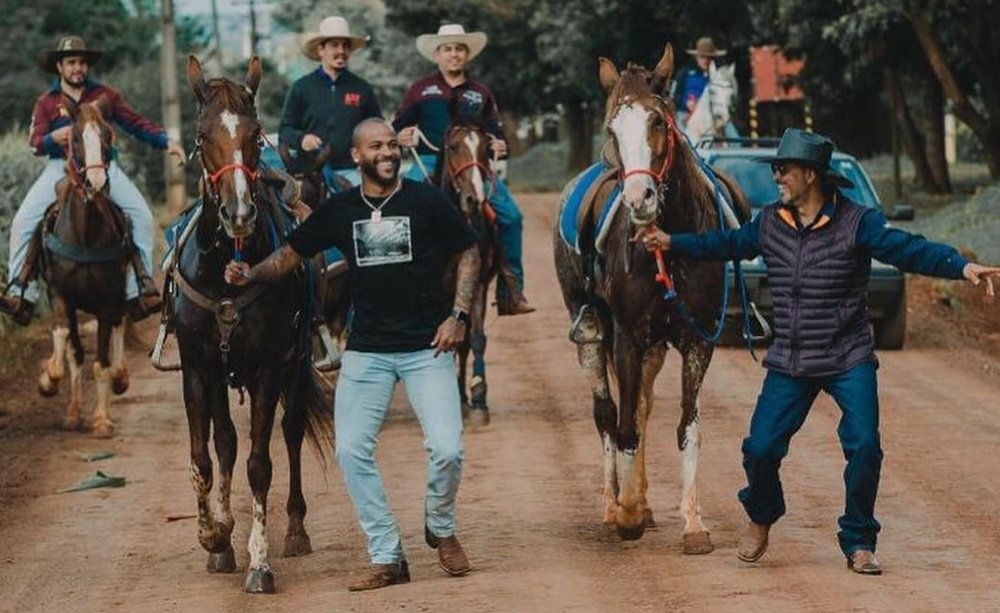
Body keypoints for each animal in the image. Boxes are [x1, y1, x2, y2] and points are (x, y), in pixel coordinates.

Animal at [38, 97, 131, 436]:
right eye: (76, 138)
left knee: (119, 326)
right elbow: (68, 341)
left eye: (106, 137)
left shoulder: (106, 302)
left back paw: (120, 376)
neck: (85, 237)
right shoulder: (60, 294)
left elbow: (101, 361)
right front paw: (49, 380)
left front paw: (101, 419)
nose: (96, 183)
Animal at [170, 57, 330, 592]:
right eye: (202, 136)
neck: (224, 268)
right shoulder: (199, 368)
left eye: (256, 134)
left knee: (292, 432)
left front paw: (259, 562)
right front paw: (215, 535)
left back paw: (296, 529)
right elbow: (203, 459)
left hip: (295, 366)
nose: (239, 213)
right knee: (225, 443)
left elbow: (261, 465)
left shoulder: (267, 368)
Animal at [556, 44, 752, 548]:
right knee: (608, 412)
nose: (638, 197)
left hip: (656, 349)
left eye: (658, 121)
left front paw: (693, 523)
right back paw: (615, 504)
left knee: (642, 408)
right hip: (592, 333)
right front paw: (626, 514)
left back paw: (641, 503)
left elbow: (686, 427)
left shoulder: (697, 340)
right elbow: (623, 426)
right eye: (612, 129)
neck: (673, 239)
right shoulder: (627, 336)